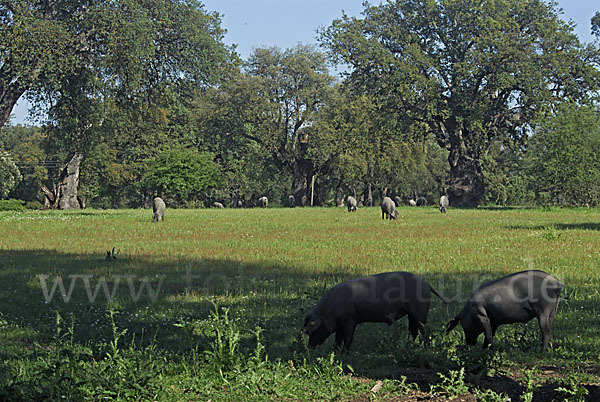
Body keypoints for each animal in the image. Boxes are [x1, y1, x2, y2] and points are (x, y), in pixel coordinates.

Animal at [304, 270, 446, 352]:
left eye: (313, 330)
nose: (309, 347)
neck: (329, 311)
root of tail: (427, 284)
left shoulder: (349, 319)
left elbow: (348, 337)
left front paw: (345, 353)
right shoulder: (339, 324)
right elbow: (337, 339)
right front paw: (335, 352)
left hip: (419, 312)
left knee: (425, 329)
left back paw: (425, 348)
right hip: (411, 314)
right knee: (414, 331)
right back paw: (409, 347)